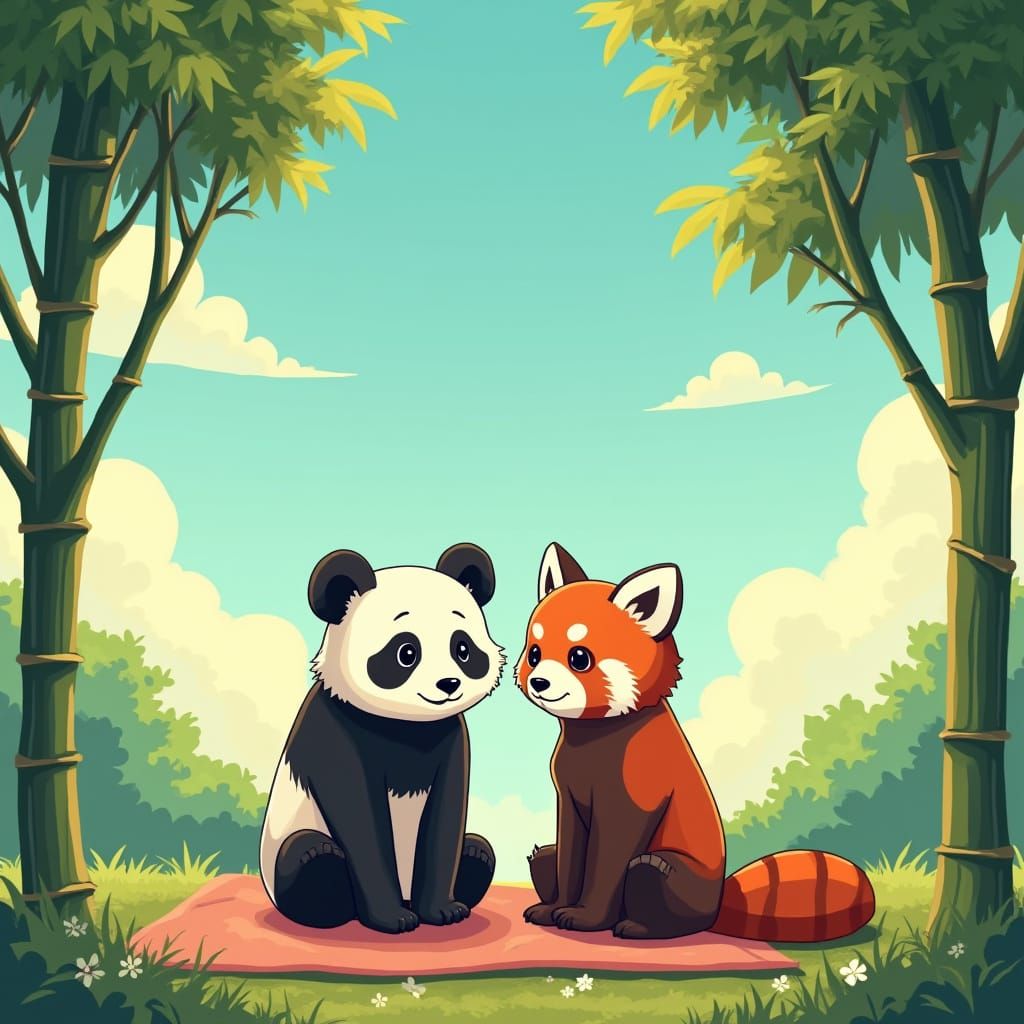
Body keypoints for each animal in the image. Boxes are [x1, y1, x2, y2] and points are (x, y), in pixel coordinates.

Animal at [259, 542, 504, 934]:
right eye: (406, 652)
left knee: (478, 851)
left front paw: (444, 911)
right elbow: (359, 819)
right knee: (307, 855)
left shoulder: (449, 736)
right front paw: (392, 919)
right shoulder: (338, 730)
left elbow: (446, 817)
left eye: (463, 648)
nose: (448, 684)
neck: (405, 724)